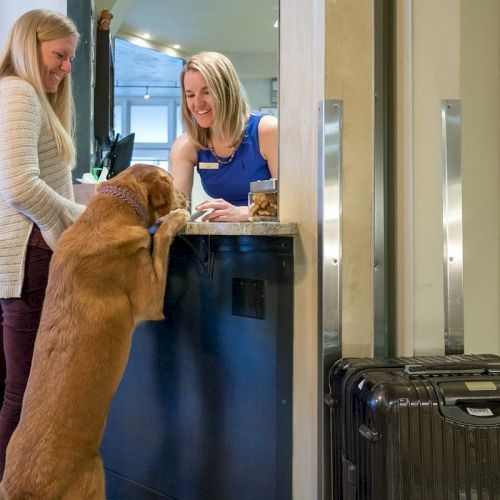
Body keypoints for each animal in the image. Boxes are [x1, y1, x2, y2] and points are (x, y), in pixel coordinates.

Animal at [0, 165, 189, 500]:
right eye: (171, 181)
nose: (188, 197)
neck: (113, 209)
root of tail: (24, 490)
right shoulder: (151, 301)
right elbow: (162, 239)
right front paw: (177, 217)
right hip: (96, 478)